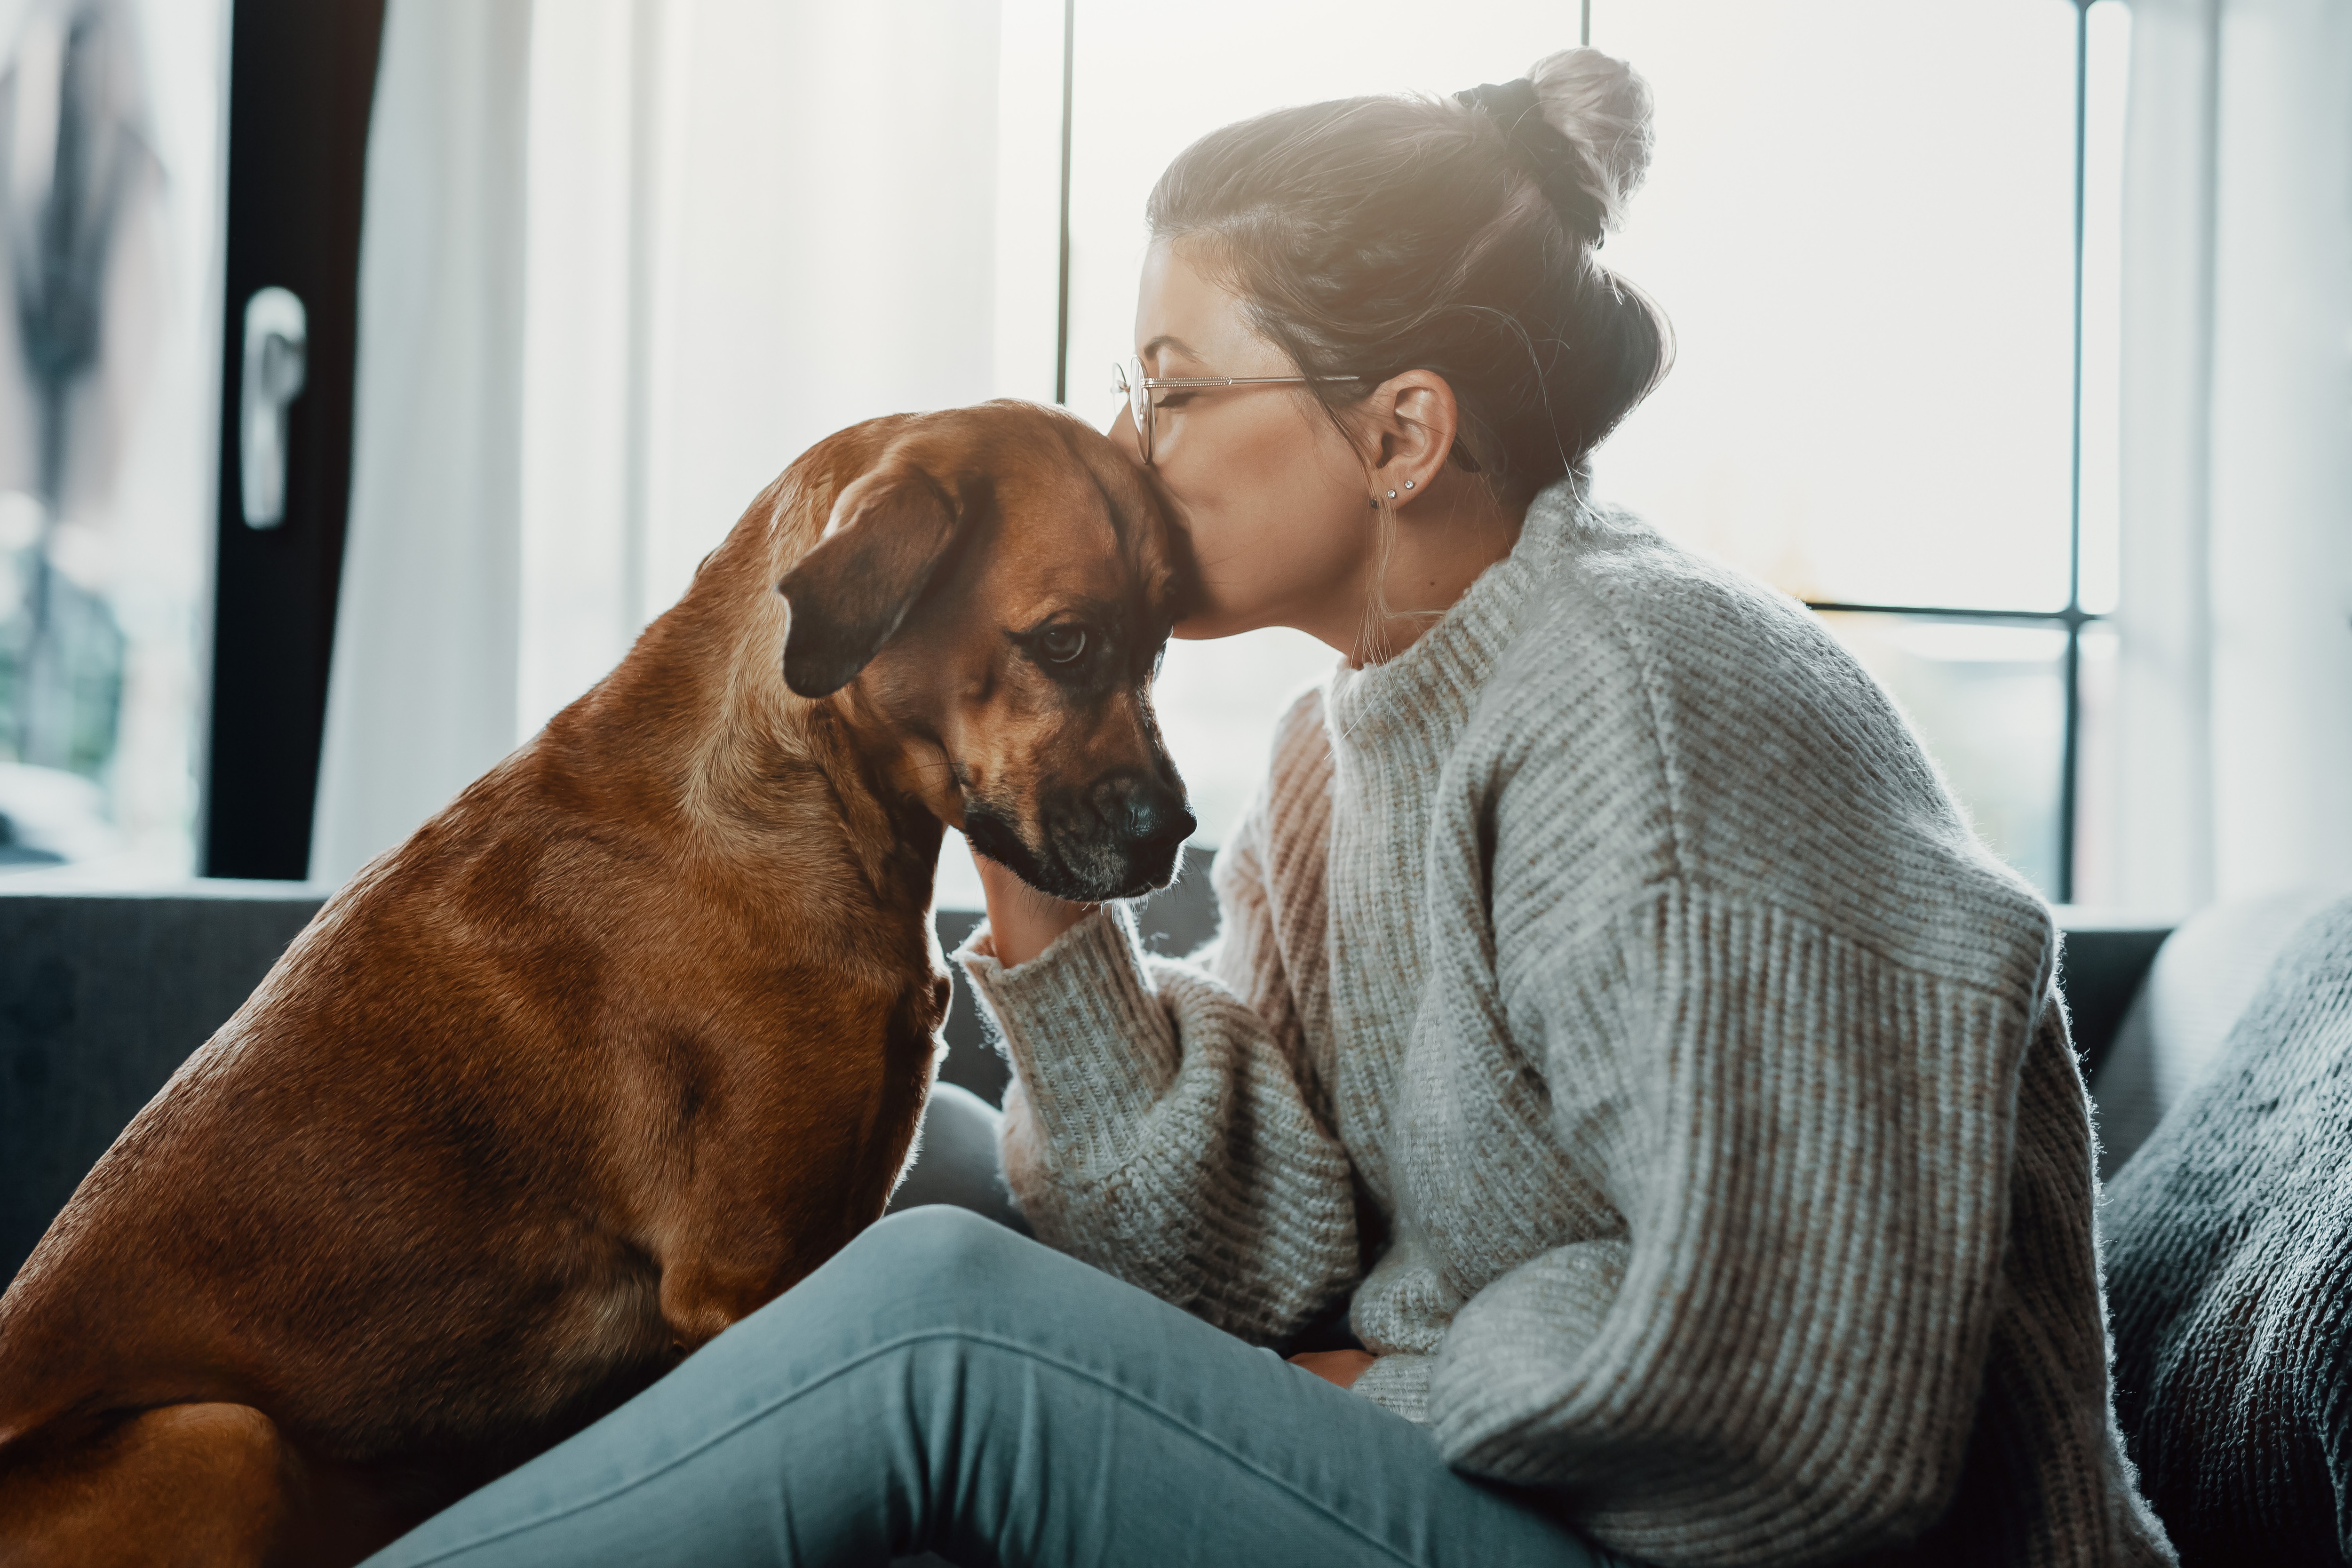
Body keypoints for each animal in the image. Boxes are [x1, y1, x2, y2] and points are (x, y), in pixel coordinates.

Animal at [0, 404, 1185, 1568]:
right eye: (1064, 642)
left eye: (1160, 645)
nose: (1175, 833)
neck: (802, 800)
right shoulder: (750, 1277)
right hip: (224, 1440)